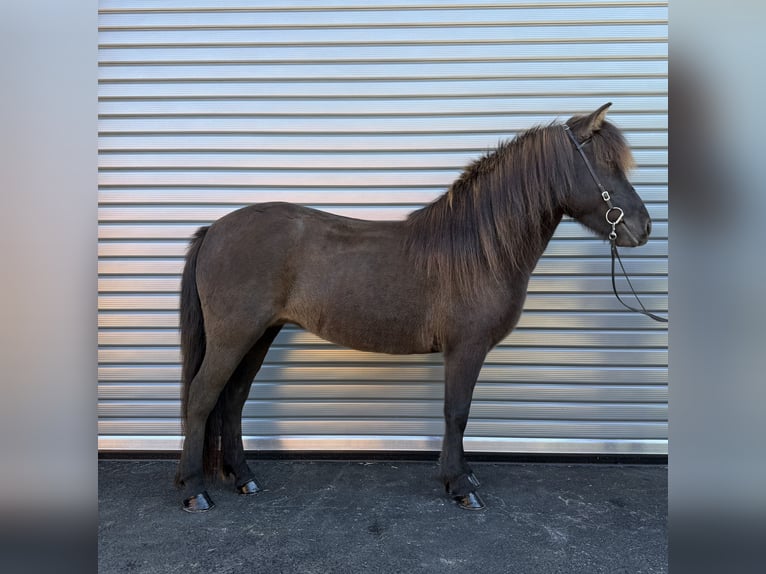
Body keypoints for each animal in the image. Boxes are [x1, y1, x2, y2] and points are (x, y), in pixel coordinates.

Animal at [174, 103, 652, 512]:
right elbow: (457, 412)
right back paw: (195, 491)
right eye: (606, 165)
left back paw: (244, 478)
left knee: (233, 400)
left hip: (260, 335)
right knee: (201, 398)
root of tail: (214, 230)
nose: (643, 227)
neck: (480, 249)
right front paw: (459, 486)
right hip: (234, 336)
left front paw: (463, 476)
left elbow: (457, 414)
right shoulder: (465, 349)